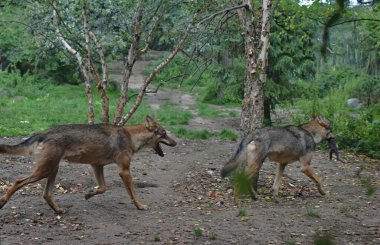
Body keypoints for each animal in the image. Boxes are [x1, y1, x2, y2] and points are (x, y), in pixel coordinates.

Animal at [0, 116, 177, 213]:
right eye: (164, 134)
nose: (175, 143)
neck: (131, 136)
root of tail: (43, 132)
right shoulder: (124, 171)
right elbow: (133, 194)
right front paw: (140, 206)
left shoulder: (97, 166)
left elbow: (103, 188)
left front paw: (89, 194)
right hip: (44, 171)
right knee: (17, 182)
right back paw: (2, 202)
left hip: (52, 170)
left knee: (46, 194)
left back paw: (58, 210)